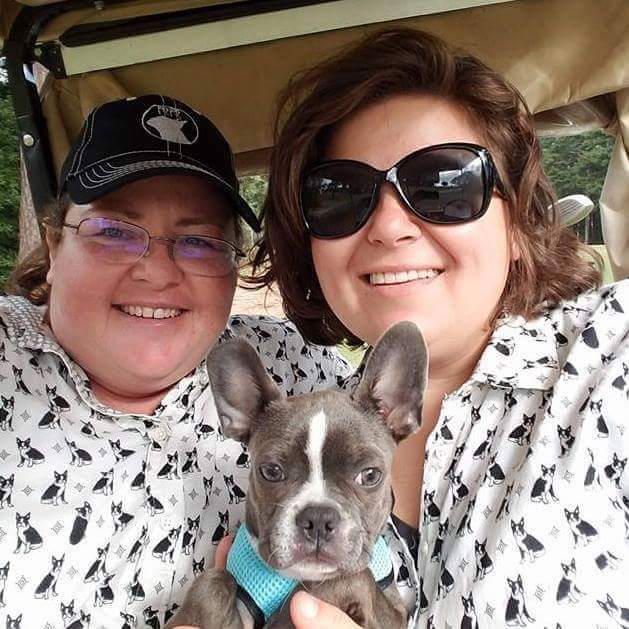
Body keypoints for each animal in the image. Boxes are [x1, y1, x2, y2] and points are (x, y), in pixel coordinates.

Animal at [168, 322, 426, 624]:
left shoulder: (394, 615)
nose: (318, 518)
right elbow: (214, 581)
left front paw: (285, 616)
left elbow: (351, 578)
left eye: (370, 475)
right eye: (271, 471)